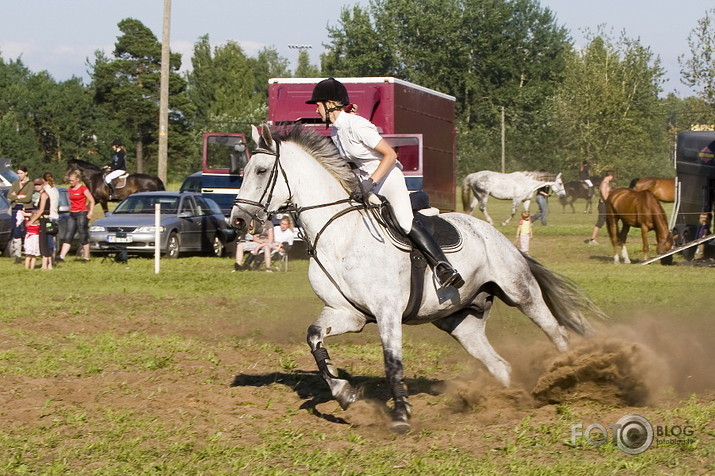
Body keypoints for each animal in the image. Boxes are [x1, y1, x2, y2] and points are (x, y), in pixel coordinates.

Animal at [232, 124, 608, 434]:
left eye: (261, 171)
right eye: (243, 171)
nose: (237, 220)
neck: (339, 234)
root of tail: (498, 237)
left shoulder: (387, 312)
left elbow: (392, 363)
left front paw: (400, 416)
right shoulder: (347, 313)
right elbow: (313, 338)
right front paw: (344, 394)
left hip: (520, 292)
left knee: (556, 333)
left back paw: (567, 376)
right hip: (460, 323)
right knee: (499, 364)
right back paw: (506, 403)